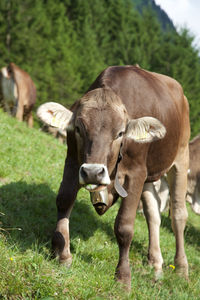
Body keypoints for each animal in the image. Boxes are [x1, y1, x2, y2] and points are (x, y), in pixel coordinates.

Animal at [38, 65, 190, 288]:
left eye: (120, 133)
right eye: (78, 128)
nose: (93, 172)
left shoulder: (136, 173)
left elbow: (124, 226)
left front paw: (123, 277)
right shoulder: (73, 160)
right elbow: (64, 200)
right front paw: (61, 253)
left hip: (180, 156)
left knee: (178, 214)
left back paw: (181, 269)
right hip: (149, 176)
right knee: (153, 214)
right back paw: (155, 263)